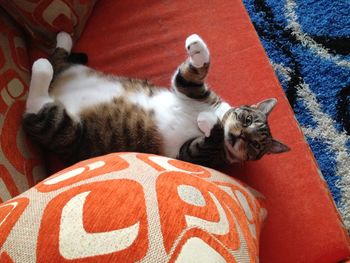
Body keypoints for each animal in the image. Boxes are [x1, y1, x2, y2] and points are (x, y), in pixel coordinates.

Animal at [22, 32, 290, 168]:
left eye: (256, 145)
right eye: (246, 119)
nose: (240, 135)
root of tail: (57, 87)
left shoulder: (194, 156)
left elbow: (209, 138)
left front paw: (208, 122)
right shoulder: (193, 92)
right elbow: (190, 76)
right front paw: (198, 48)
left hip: (67, 132)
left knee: (36, 109)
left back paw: (41, 68)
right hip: (74, 71)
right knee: (58, 61)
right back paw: (63, 40)